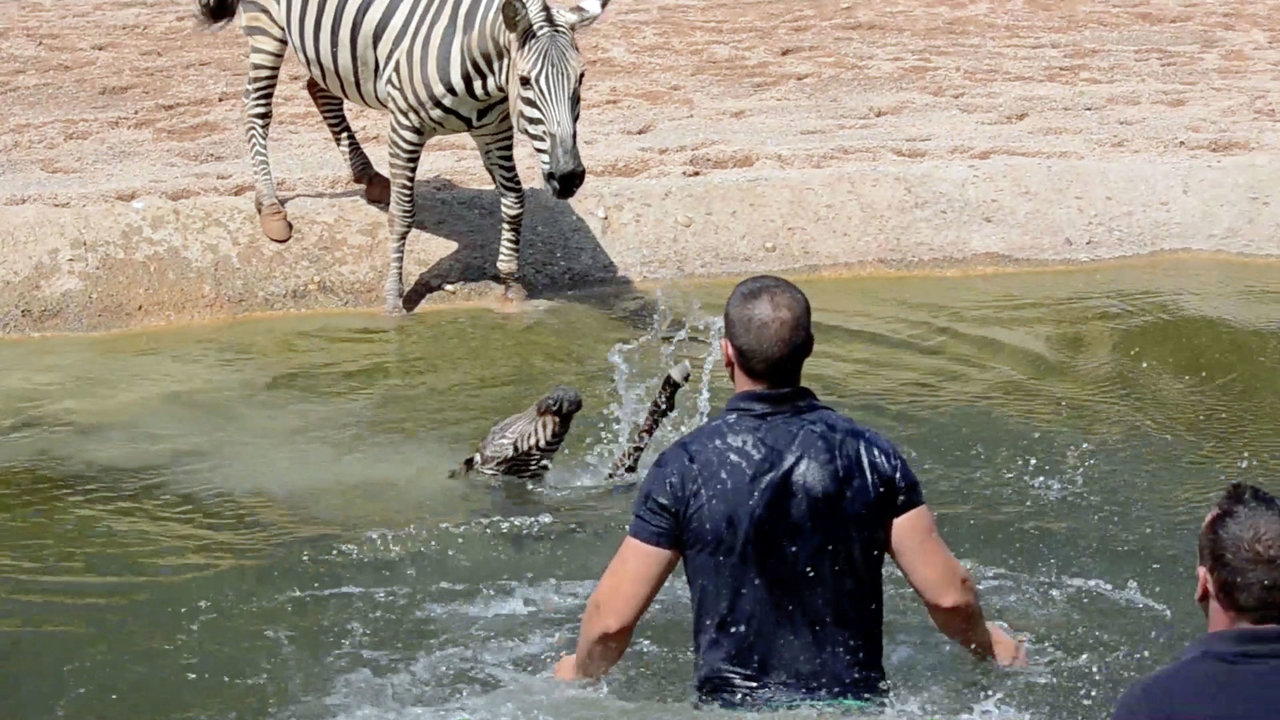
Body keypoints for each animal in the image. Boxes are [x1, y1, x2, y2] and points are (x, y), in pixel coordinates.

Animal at [197, 0, 611, 311]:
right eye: (525, 81)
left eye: (581, 78)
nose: (568, 178)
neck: (482, 73)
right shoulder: (404, 128)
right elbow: (402, 215)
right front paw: (394, 301)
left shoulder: (494, 129)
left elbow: (514, 199)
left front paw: (511, 284)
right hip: (264, 23)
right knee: (257, 107)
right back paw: (270, 207)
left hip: (330, 51)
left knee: (319, 88)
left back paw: (368, 175)